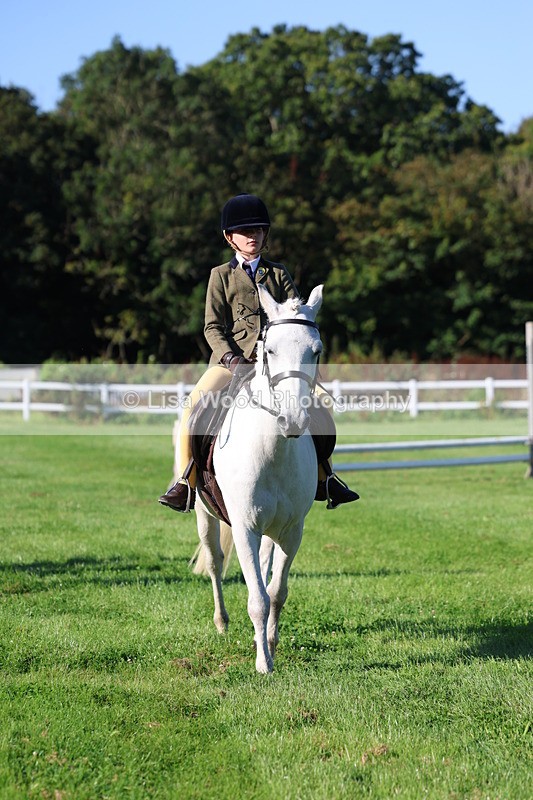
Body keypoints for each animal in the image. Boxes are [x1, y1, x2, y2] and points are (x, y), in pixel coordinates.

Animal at [190, 284, 324, 673]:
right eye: (270, 350)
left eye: (316, 350)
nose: (292, 420)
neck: (274, 450)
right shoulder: (245, 527)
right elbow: (257, 599)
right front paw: (264, 664)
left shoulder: (292, 531)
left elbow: (276, 593)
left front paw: (270, 645)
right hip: (204, 514)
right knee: (215, 561)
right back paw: (222, 622)